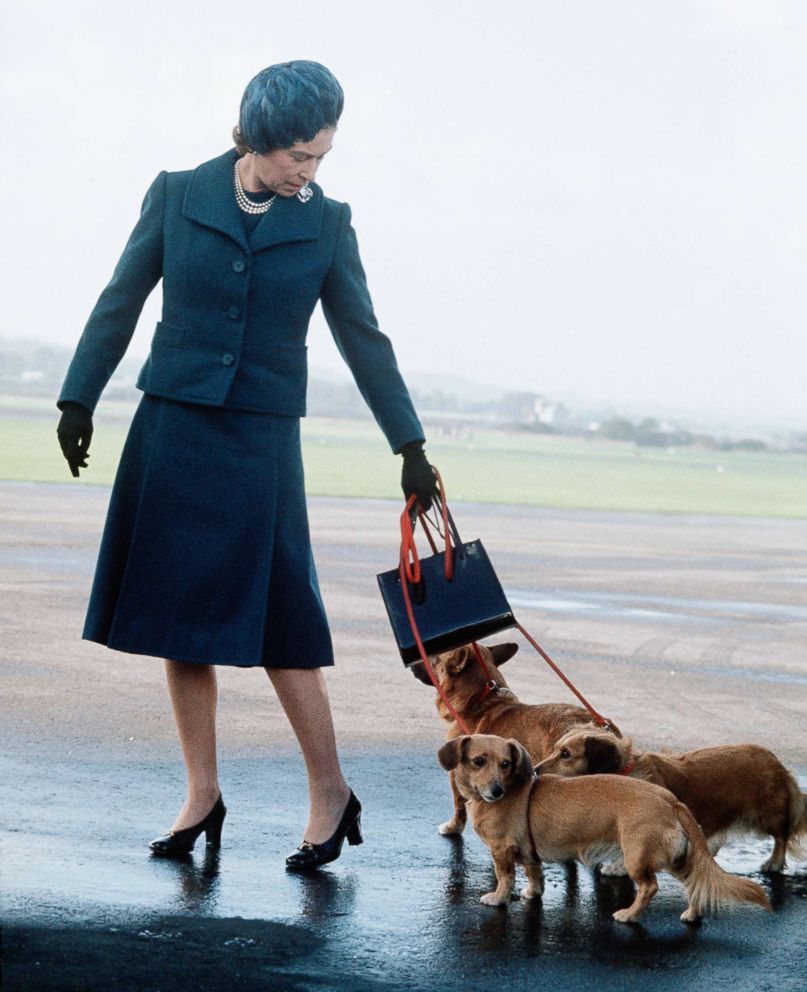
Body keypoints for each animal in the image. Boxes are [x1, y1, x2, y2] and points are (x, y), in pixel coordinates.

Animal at [442, 732, 772, 928]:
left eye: (506, 764)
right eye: (479, 761)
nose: (496, 791)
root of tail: (671, 801)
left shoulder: (501, 851)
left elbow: (505, 877)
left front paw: (497, 898)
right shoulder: (530, 855)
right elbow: (535, 877)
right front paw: (532, 894)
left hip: (637, 857)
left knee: (649, 887)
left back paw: (629, 915)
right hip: (676, 859)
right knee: (695, 884)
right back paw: (693, 914)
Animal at [532, 724, 804, 872]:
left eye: (566, 754)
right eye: (556, 749)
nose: (534, 770)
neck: (625, 773)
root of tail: (774, 760)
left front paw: (619, 867)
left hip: (767, 815)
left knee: (781, 836)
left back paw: (774, 862)